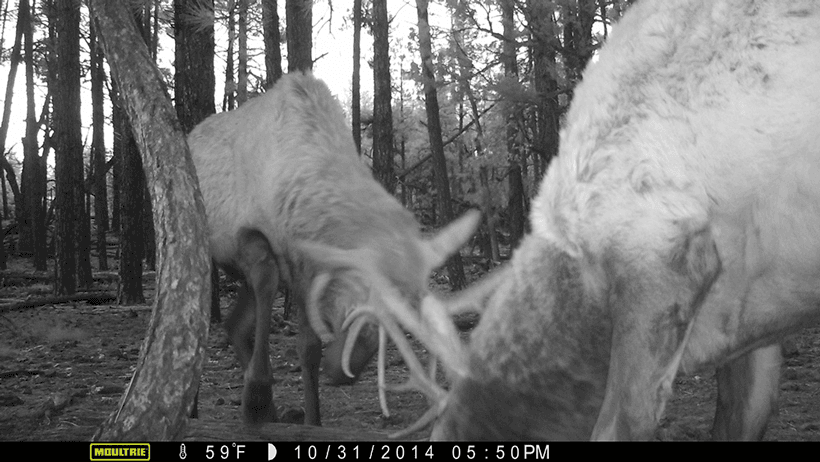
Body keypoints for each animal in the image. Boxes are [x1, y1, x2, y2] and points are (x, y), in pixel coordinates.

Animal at [186, 72, 480, 427]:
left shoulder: (302, 269)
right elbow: (279, 303)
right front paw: (259, 396)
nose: (343, 372)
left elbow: (303, 345)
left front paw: (303, 416)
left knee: (234, 324)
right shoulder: (258, 243)